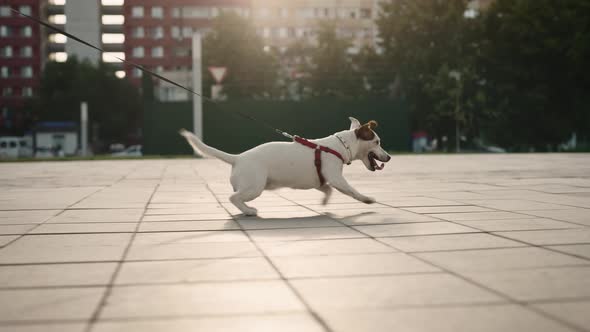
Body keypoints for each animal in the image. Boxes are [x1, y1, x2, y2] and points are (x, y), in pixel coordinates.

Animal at [180, 116, 394, 215]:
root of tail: (238, 158)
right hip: (254, 187)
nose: (390, 157)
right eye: (377, 142)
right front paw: (367, 200)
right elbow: (352, 191)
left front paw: (324, 202)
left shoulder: (322, 180)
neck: (341, 146)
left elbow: (327, 190)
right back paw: (249, 211)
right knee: (234, 197)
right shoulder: (337, 178)